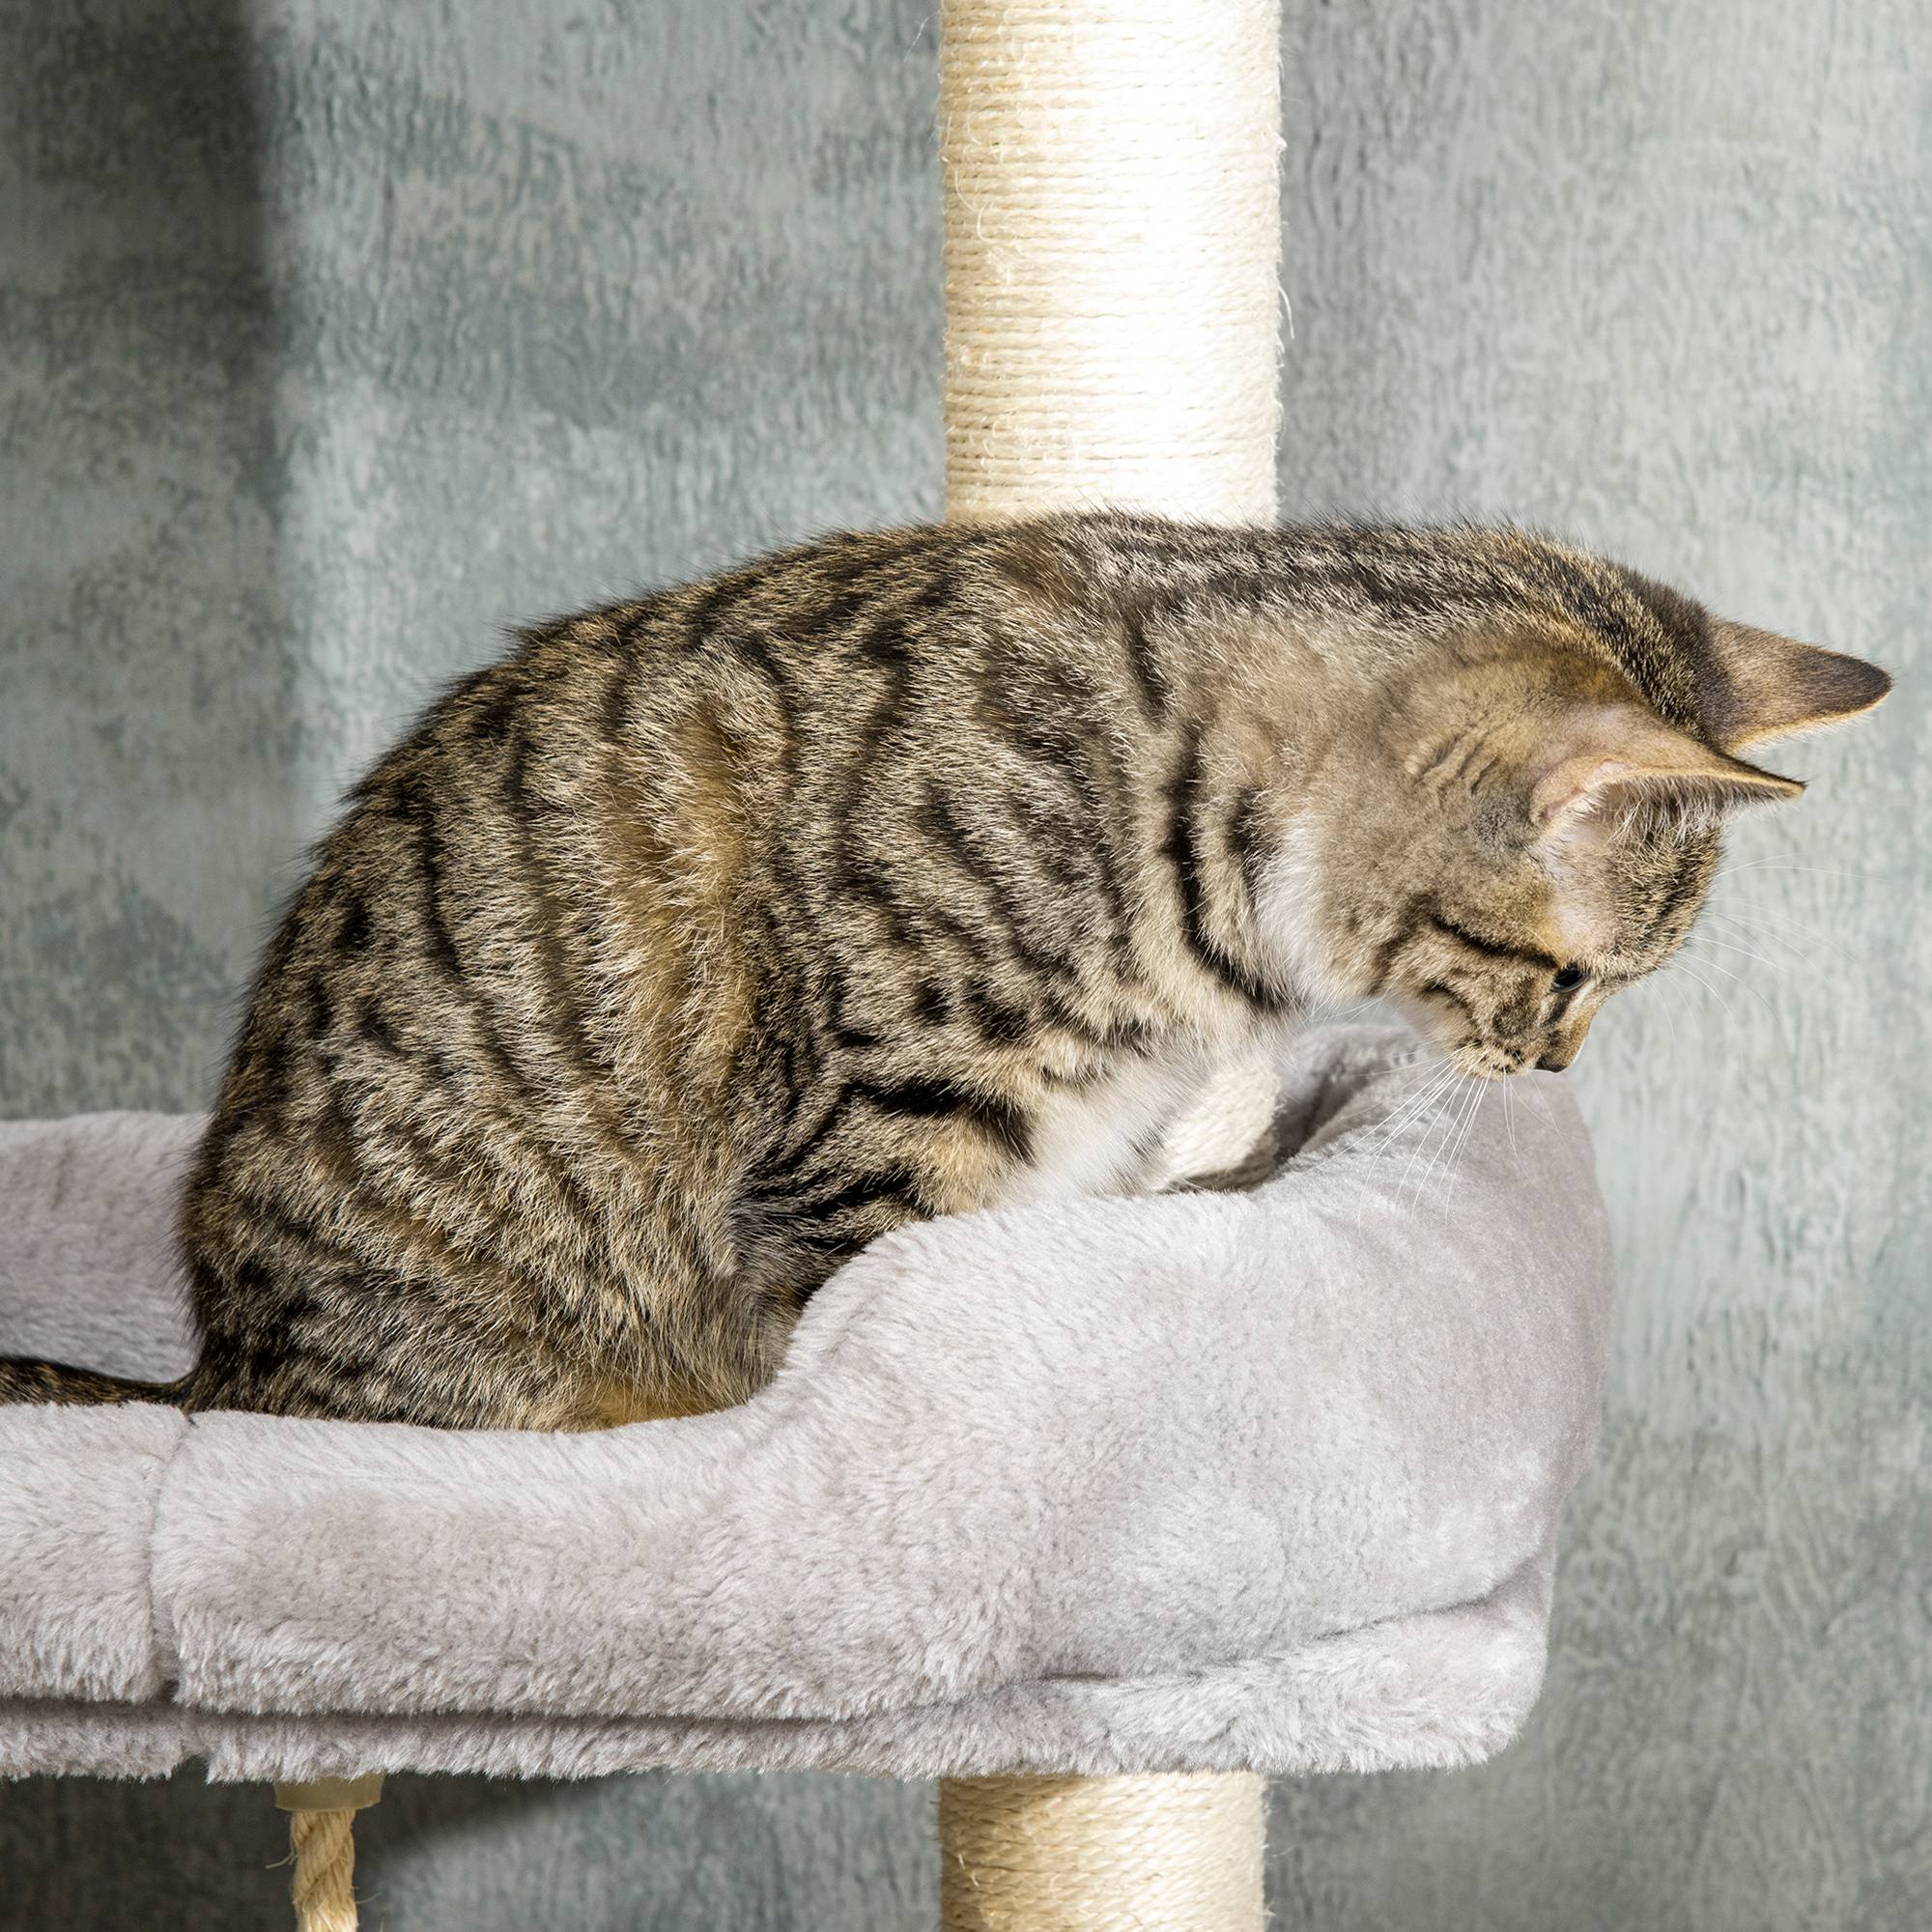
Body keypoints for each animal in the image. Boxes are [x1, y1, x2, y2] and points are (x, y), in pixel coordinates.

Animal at [0, 522, 1886, 1430]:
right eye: (1574, 980)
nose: (1555, 1072)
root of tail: (223, 1366)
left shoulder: (1103, 1138)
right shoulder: (880, 1140)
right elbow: (876, 1325)